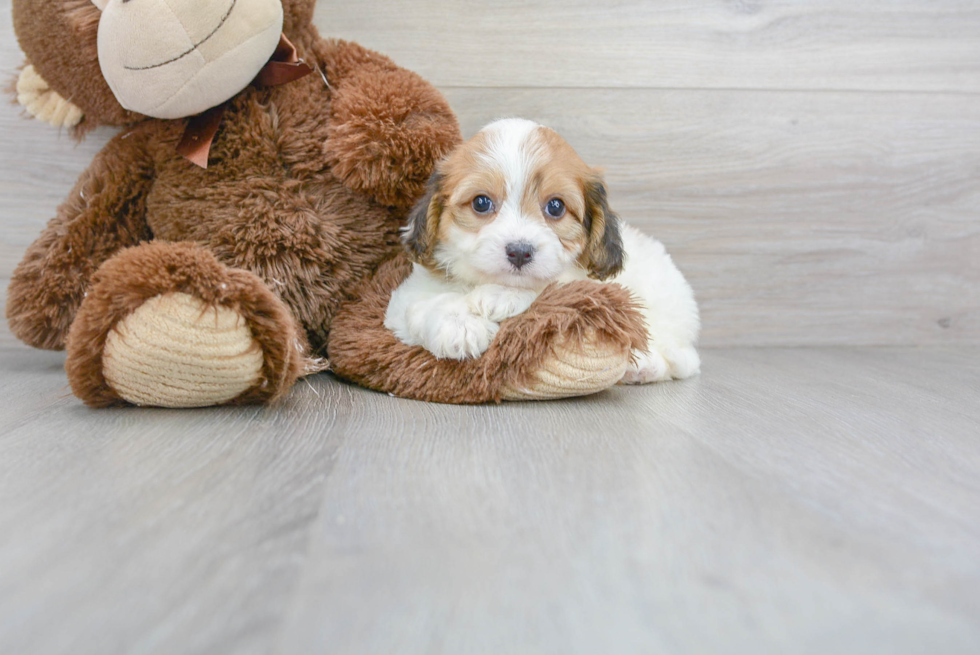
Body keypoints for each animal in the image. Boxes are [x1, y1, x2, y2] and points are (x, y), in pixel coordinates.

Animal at [386, 118, 700, 384]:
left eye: (556, 206)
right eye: (481, 203)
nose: (519, 252)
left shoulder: (585, 285)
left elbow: (553, 286)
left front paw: (502, 295)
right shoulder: (402, 303)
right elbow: (424, 305)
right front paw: (458, 326)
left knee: (680, 358)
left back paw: (643, 365)